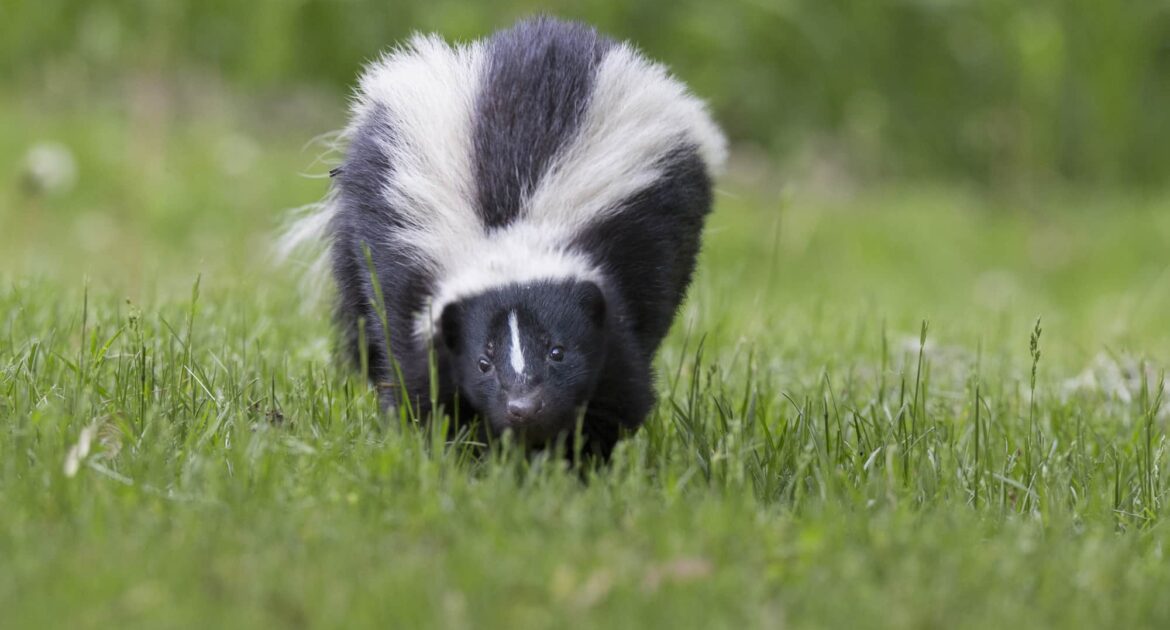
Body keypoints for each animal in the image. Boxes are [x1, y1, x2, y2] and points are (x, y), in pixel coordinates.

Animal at [285, 15, 720, 456]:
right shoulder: (408, 274)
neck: (511, 230)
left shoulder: (622, 269)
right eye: (483, 362)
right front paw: (455, 449)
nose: (522, 407)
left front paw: (577, 456)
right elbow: (420, 379)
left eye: (557, 351)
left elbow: (618, 385)